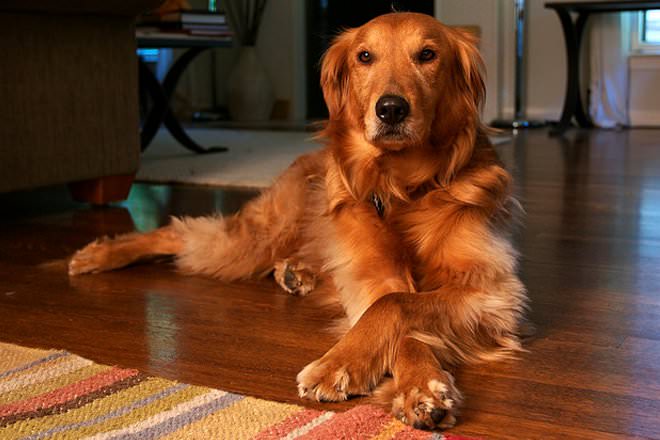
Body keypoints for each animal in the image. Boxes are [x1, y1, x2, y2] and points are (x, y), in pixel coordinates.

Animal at [69, 12, 528, 430]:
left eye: (428, 55)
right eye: (365, 56)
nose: (391, 109)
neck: (405, 186)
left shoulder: (490, 288)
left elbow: (397, 307)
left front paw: (407, 385)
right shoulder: (372, 277)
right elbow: (389, 308)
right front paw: (362, 368)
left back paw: (295, 273)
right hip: (258, 237)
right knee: (179, 231)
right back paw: (98, 255)